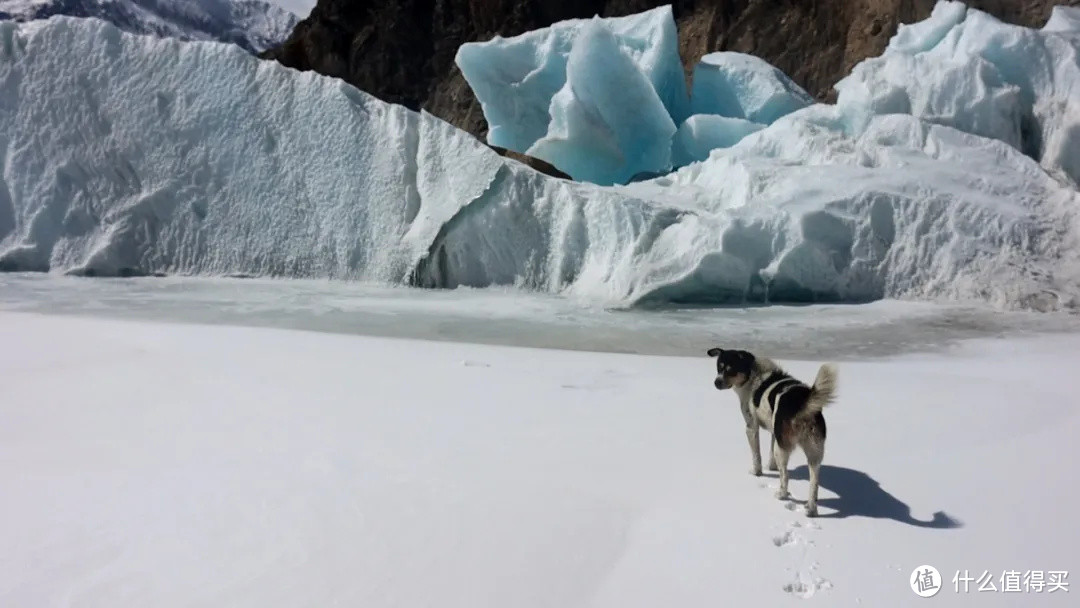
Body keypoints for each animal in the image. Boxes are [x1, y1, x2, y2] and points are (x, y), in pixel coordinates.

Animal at [708, 347, 833, 518]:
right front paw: (771, 467)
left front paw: (757, 472)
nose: (716, 382)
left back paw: (781, 495)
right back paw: (811, 510)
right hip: (815, 452)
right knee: (814, 484)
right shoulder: (774, 431)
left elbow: (756, 456)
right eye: (719, 368)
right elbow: (770, 455)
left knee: (785, 476)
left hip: (784, 448)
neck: (751, 375)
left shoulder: (751, 427)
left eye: (730, 369)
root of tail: (802, 403)